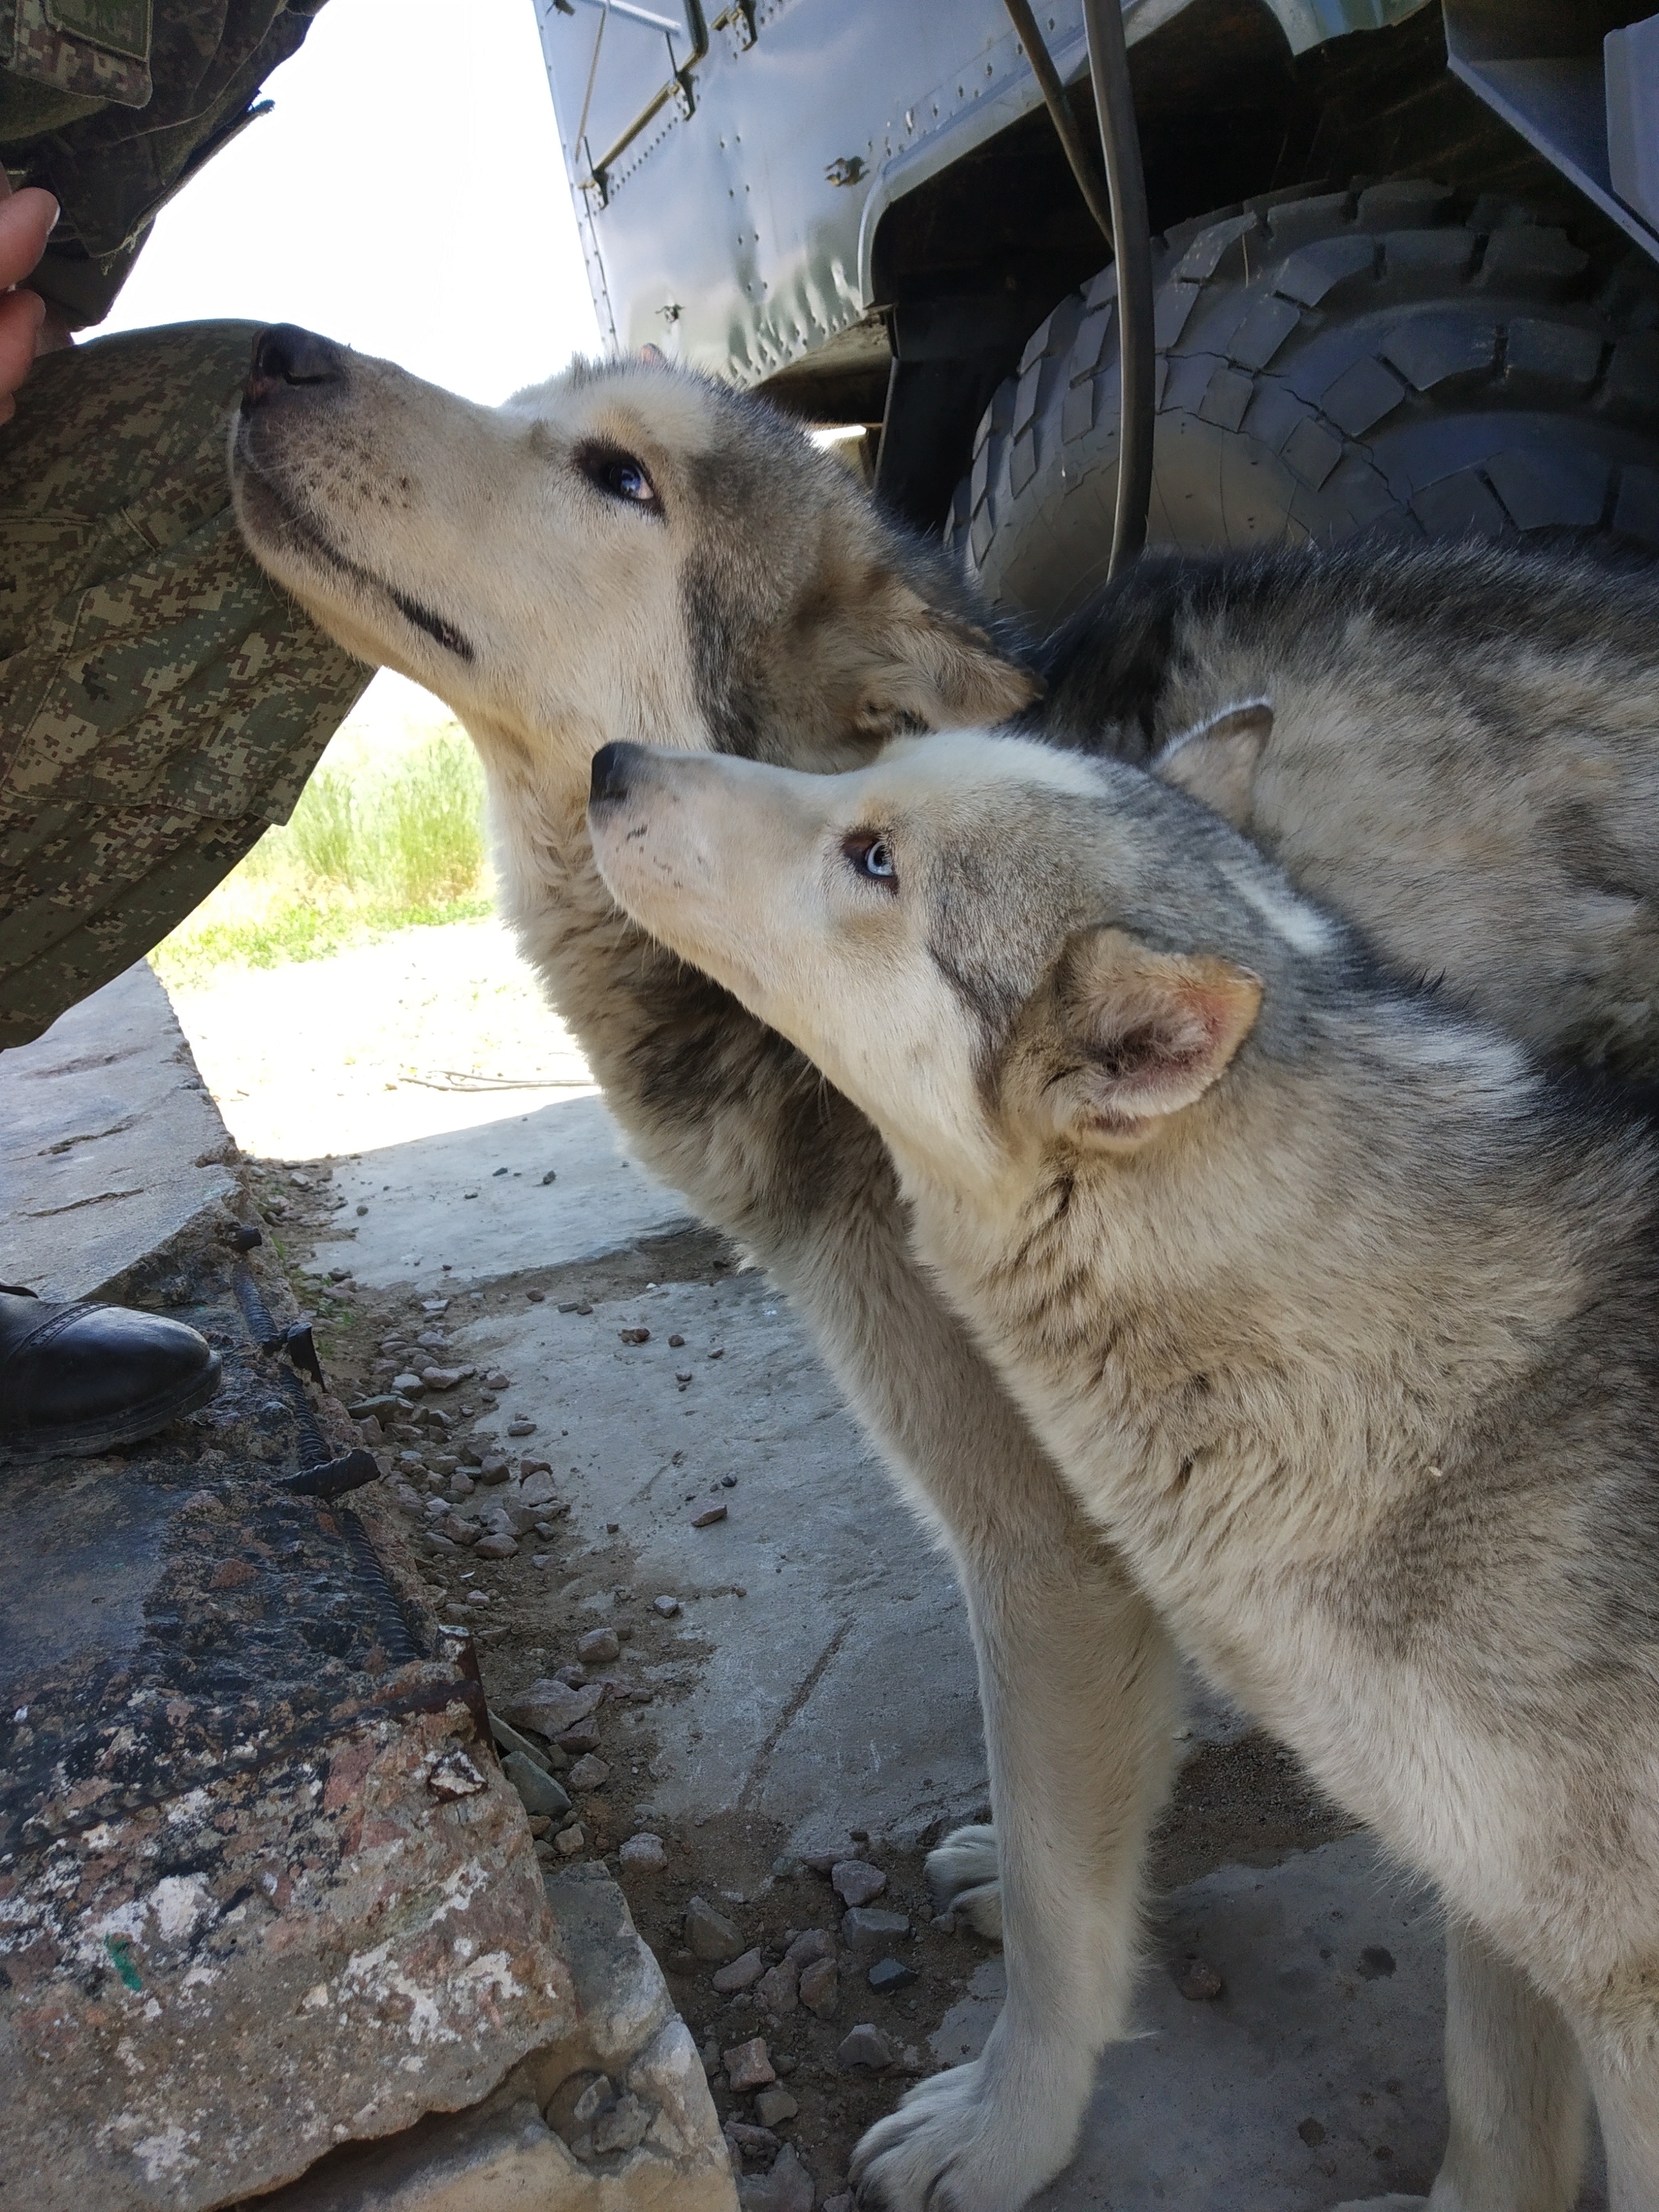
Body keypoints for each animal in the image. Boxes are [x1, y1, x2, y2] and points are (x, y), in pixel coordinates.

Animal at [592, 730, 1659, 2212]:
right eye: (865, 780)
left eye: (875, 858)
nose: (609, 760)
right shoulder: (1493, 1891)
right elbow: (1496, 2112)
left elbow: (1061, 1925)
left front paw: (998, 2136)